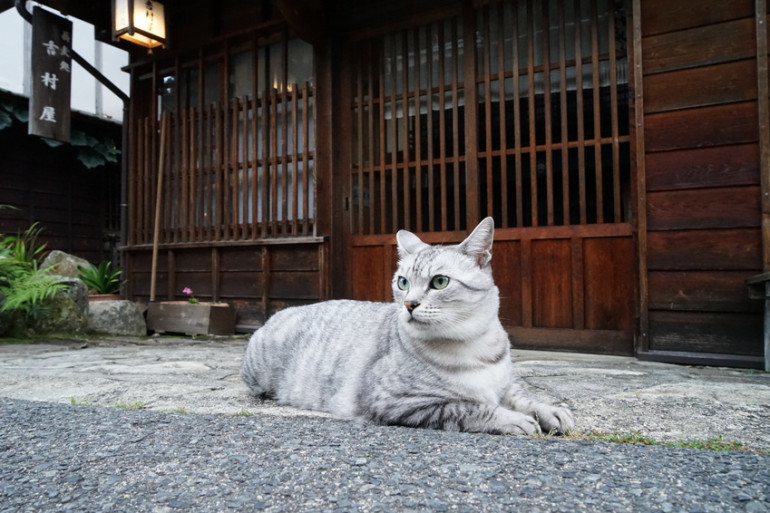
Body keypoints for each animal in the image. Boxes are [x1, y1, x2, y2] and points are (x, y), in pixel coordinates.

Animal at [240, 218, 568, 434]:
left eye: (440, 281)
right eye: (403, 282)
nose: (409, 304)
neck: (472, 341)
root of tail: (277, 315)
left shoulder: (504, 380)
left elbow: (523, 395)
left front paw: (550, 410)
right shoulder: (397, 401)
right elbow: (468, 407)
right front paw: (512, 419)